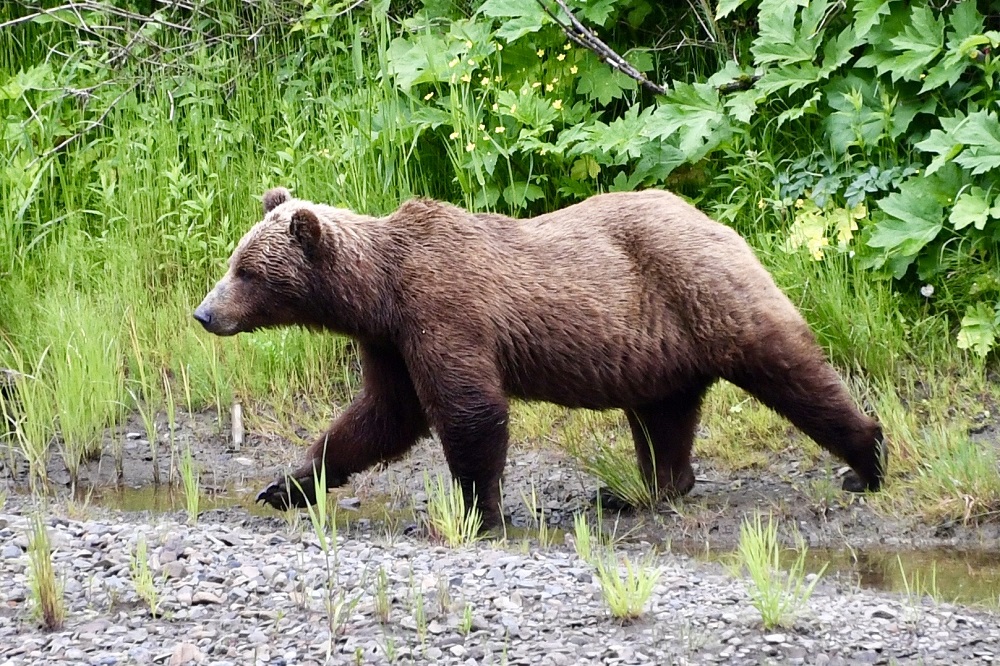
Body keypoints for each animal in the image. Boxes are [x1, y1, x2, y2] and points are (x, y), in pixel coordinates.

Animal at [193, 185, 884, 524]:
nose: (204, 313)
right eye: (234, 260)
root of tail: (715, 220)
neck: (379, 294)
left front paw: (479, 511)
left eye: (247, 272)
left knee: (787, 366)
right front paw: (285, 486)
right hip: (657, 350)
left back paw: (866, 459)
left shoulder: (445, 310)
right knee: (663, 417)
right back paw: (643, 490)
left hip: (703, 292)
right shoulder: (389, 342)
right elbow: (381, 417)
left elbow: (468, 410)